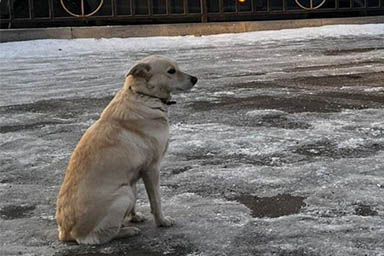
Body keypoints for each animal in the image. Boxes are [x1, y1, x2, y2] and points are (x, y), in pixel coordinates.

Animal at [55, 55, 198, 244]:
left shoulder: (134, 174)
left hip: (127, 189)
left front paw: (134, 216)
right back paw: (128, 231)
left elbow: (138, 200)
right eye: (171, 71)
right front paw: (162, 221)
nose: (195, 79)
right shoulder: (152, 168)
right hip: (123, 194)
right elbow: (156, 201)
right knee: (99, 236)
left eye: (177, 67)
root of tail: (66, 233)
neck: (144, 95)